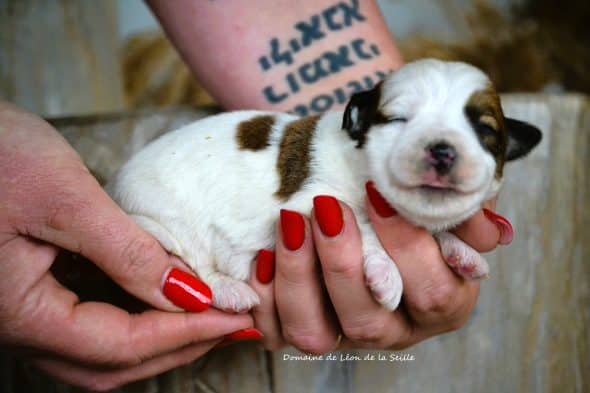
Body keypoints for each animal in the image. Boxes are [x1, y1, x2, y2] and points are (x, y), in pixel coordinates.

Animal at [108, 58, 544, 310]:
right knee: (196, 264)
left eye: (484, 131)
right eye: (398, 119)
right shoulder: (313, 204)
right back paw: (231, 292)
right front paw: (387, 274)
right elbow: (362, 225)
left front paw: (459, 250)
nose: (441, 150)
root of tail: (115, 190)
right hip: (169, 217)